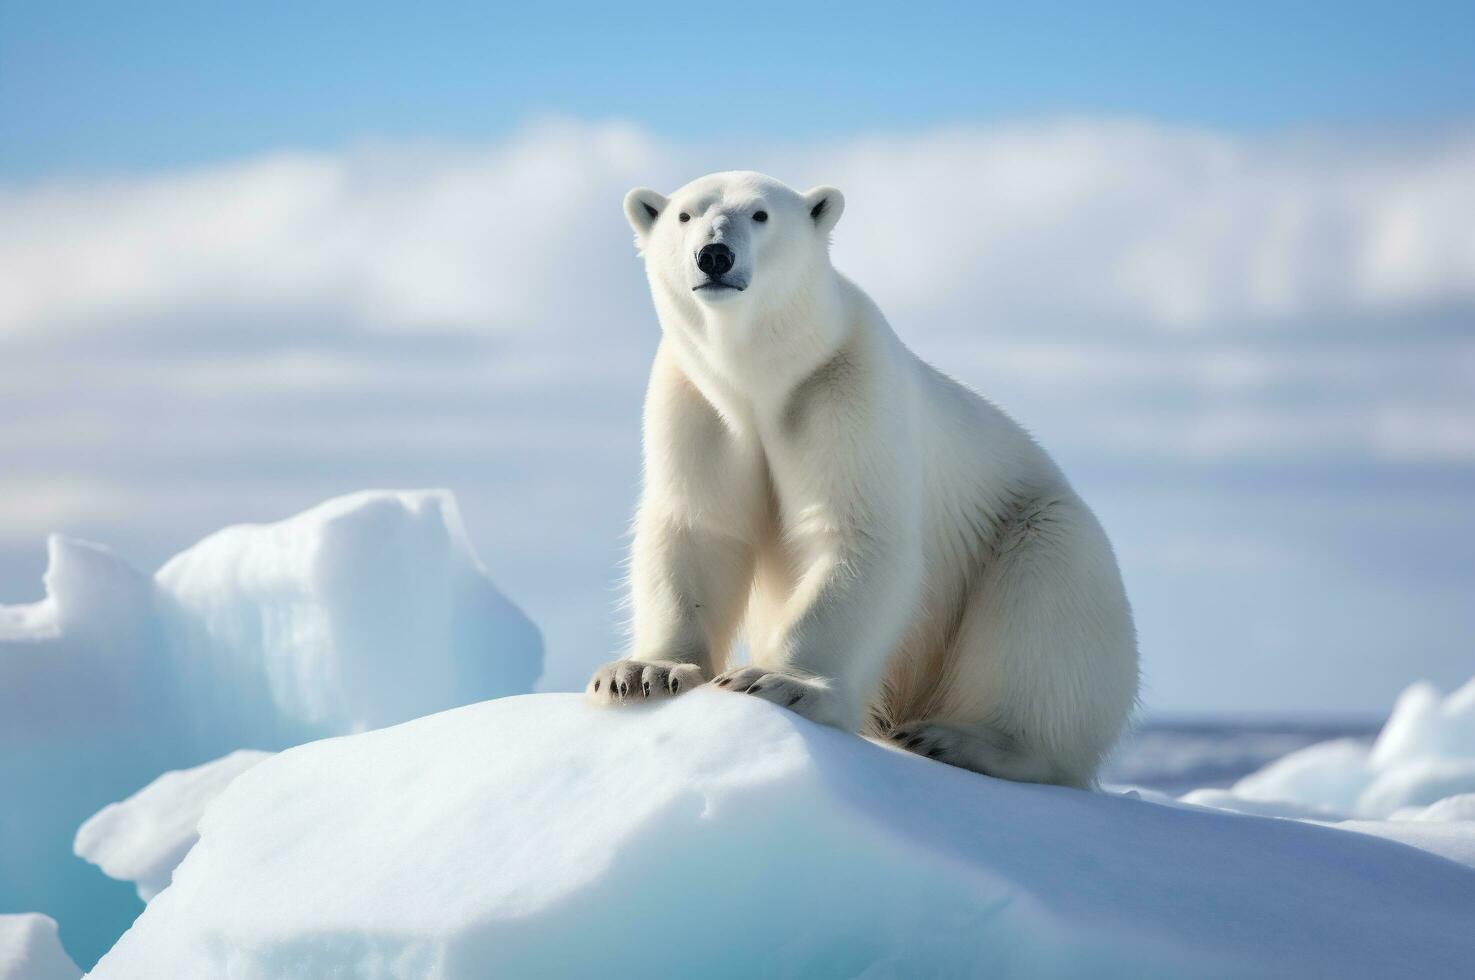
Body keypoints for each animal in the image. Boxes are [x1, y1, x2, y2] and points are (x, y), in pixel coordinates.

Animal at [590, 170, 1138, 791]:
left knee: (1048, 591)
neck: (764, 380)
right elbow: (698, 529)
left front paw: (777, 682)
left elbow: (857, 533)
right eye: (685, 215)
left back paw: (961, 740)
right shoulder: (699, 401)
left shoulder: (845, 385)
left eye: (760, 214)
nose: (714, 255)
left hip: (1041, 528)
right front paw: (645, 673)